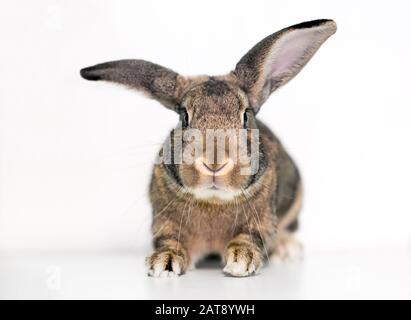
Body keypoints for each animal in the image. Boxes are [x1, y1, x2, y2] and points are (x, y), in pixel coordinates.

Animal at [81, 18, 338, 276]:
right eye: (184, 117)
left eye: (246, 116)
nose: (214, 163)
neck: (214, 200)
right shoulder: (165, 223)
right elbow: (171, 241)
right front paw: (163, 263)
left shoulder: (262, 221)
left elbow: (249, 238)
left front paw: (240, 263)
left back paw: (287, 250)